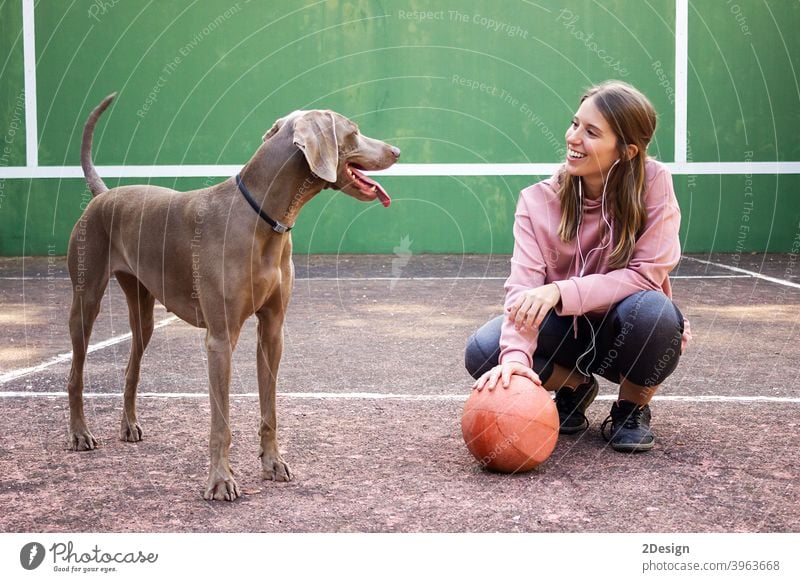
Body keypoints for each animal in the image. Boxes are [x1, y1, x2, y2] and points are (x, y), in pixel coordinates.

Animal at [65, 94, 400, 502]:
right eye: (353, 131)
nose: (397, 150)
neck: (263, 219)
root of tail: (104, 195)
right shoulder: (221, 339)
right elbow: (221, 422)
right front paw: (220, 481)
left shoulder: (272, 330)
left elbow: (269, 409)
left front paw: (273, 463)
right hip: (86, 298)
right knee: (75, 373)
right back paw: (80, 433)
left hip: (142, 309)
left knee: (132, 367)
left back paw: (129, 427)